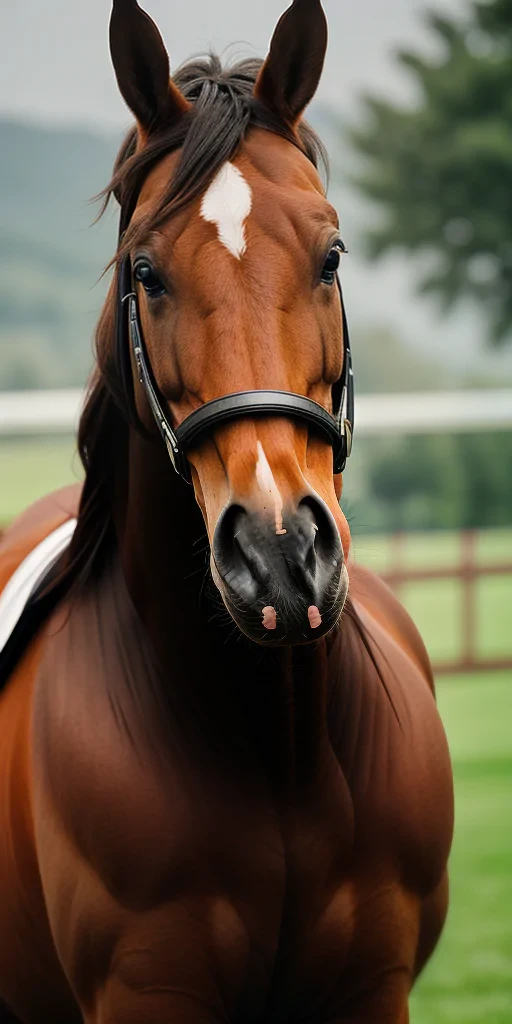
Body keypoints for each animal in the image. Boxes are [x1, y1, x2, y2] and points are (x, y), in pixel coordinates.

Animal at [0, 1, 454, 1021]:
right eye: (146, 271)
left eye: (331, 255)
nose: (281, 554)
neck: (281, 752)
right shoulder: (148, 994)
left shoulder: (373, 989)